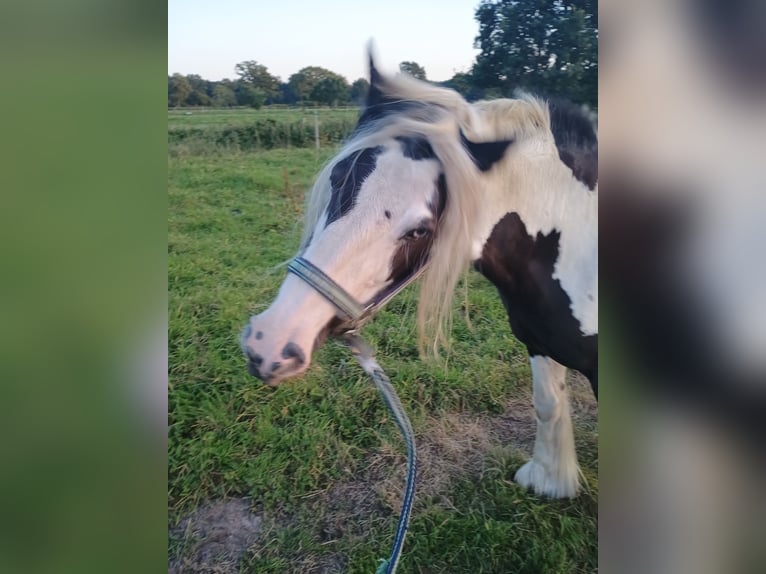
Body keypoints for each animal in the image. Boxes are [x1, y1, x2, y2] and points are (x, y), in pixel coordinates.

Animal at [242, 53, 600, 500]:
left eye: (420, 230)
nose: (267, 344)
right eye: (339, 178)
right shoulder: (538, 342)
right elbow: (547, 402)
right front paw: (550, 481)